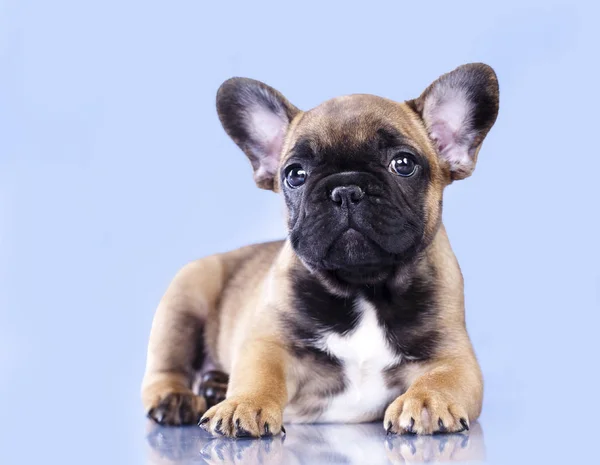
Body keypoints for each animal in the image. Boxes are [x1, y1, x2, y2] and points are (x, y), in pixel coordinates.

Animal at [141, 63, 496, 436]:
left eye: (403, 163)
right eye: (295, 174)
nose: (346, 190)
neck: (364, 287)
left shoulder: (453, 356)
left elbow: (443, 378)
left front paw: (427, 401)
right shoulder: (269, 343)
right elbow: (259, 373)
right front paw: (243, 404)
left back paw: (214, 386)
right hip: (185, 297)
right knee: (167, 367)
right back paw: (177, 398)